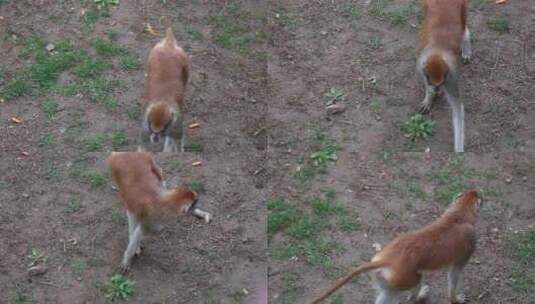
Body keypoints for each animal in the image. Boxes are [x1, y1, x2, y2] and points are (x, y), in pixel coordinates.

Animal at [310, 190, 482, 304]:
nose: (478, 192)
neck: (459, 214)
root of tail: (388, 258)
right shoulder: (470, 241)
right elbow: (454, 273)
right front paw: (455, 299)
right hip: (403, 277)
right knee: (418, 280)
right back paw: (417, 297)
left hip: (384, 276)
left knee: (387, 294)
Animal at [416, 0, 472, 152]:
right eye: (433, 82)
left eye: (441, 82)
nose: (437, 88)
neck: (438, 50)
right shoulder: (420, 65)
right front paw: (430, 96)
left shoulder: (451, 75)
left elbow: (458, 108)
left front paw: (459, 151)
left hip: (462, 7)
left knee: (463, 28)